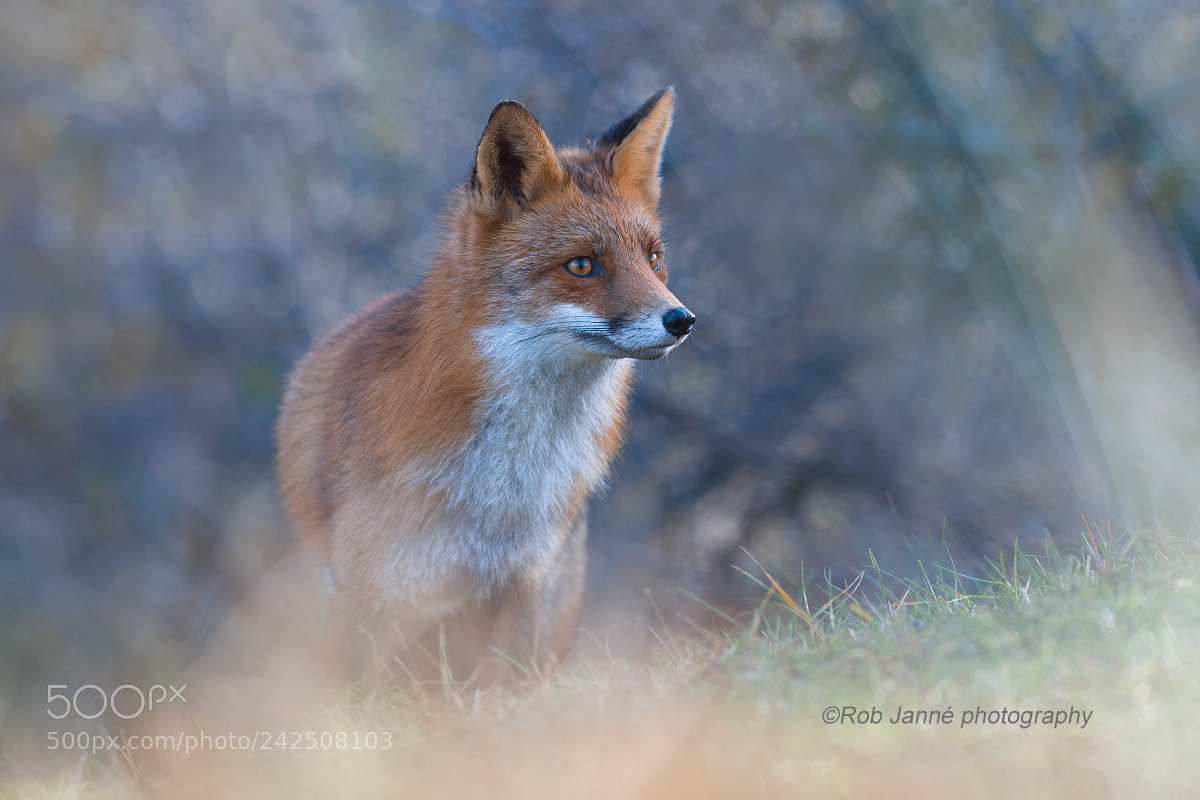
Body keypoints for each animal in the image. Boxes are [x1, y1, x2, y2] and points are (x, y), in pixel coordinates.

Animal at [276, 88, 694, 687]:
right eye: (582, 265)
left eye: (654, 259)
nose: (682, 320)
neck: (502, 485)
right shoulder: (366, 588)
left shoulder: (524, 578)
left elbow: (506, 690)